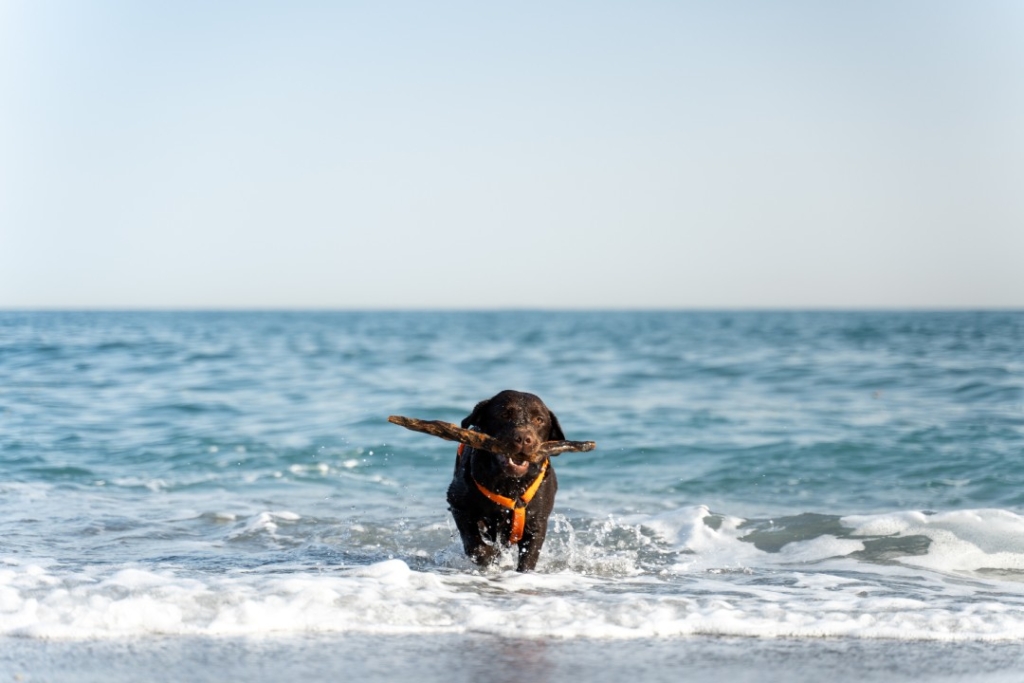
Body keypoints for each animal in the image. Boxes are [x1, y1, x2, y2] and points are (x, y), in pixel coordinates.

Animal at [444, 389, 565, 573]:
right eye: (505, 414)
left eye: (539, 419)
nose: (523, 438)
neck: (509, 485)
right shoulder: (458, 504)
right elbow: (476, 545)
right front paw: (489, 557)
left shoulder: (537, 523)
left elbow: (529, 558)